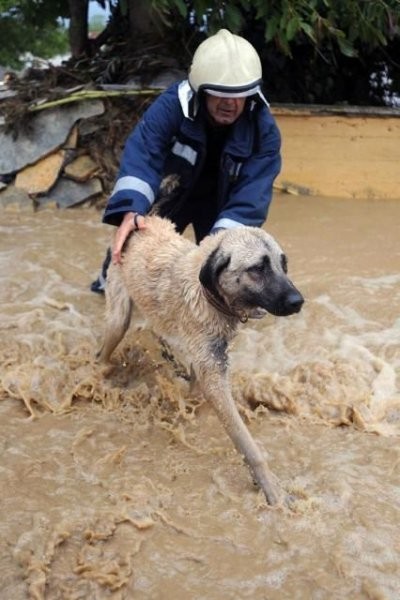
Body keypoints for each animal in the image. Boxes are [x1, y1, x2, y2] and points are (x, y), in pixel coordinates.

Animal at [97, 217, 304, 506]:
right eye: (257, 269)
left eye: (283, 265)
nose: (298, 302)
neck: (209, 295)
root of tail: (144, 220)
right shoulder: (213, 376)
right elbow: (247, 444)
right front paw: (271, 487)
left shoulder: (205, 364)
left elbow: (196, 392)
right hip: (118, 320)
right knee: (102, 353)